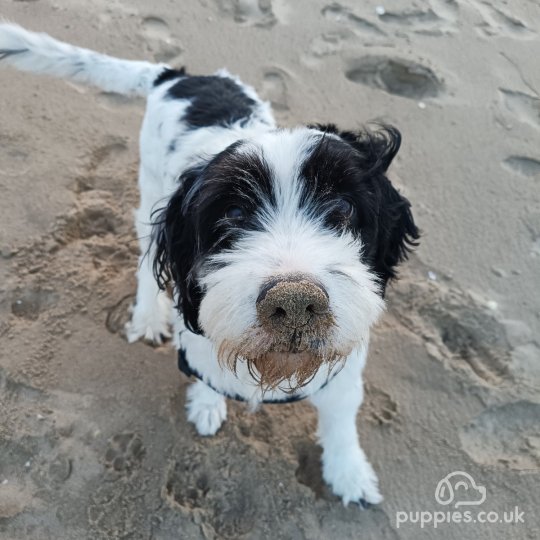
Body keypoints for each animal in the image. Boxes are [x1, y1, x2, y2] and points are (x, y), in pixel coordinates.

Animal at [0, 23, 420, 506]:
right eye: (232, 213)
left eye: (343, 208)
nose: (296, 303)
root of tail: (179, 76)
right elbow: (205, 372)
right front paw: (205, 403)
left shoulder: (344, 369)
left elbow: (341, 421)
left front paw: (349, 474)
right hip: (149, 192)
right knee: (144, 262)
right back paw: (147, 315)